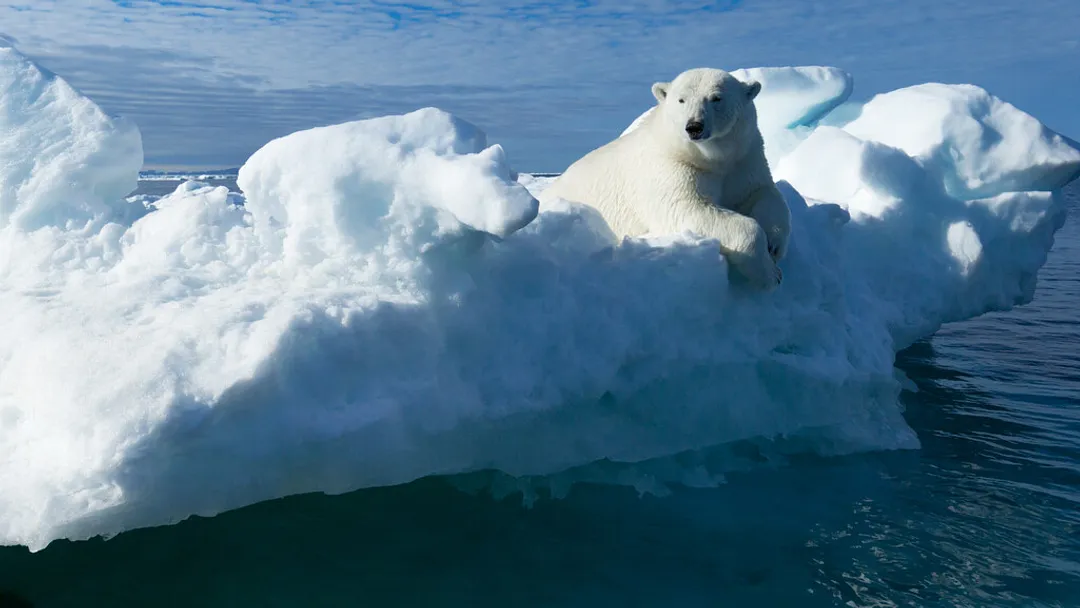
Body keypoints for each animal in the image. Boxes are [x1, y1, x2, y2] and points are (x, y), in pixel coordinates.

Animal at [538, 67, 791, 290]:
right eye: (681, 100)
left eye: (716, 98)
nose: (694, 127)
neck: (710, 159)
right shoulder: (672, 166)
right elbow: (687, 208)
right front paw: (770, 273)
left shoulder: (743, 158)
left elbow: (762, 192)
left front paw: (774, 244)